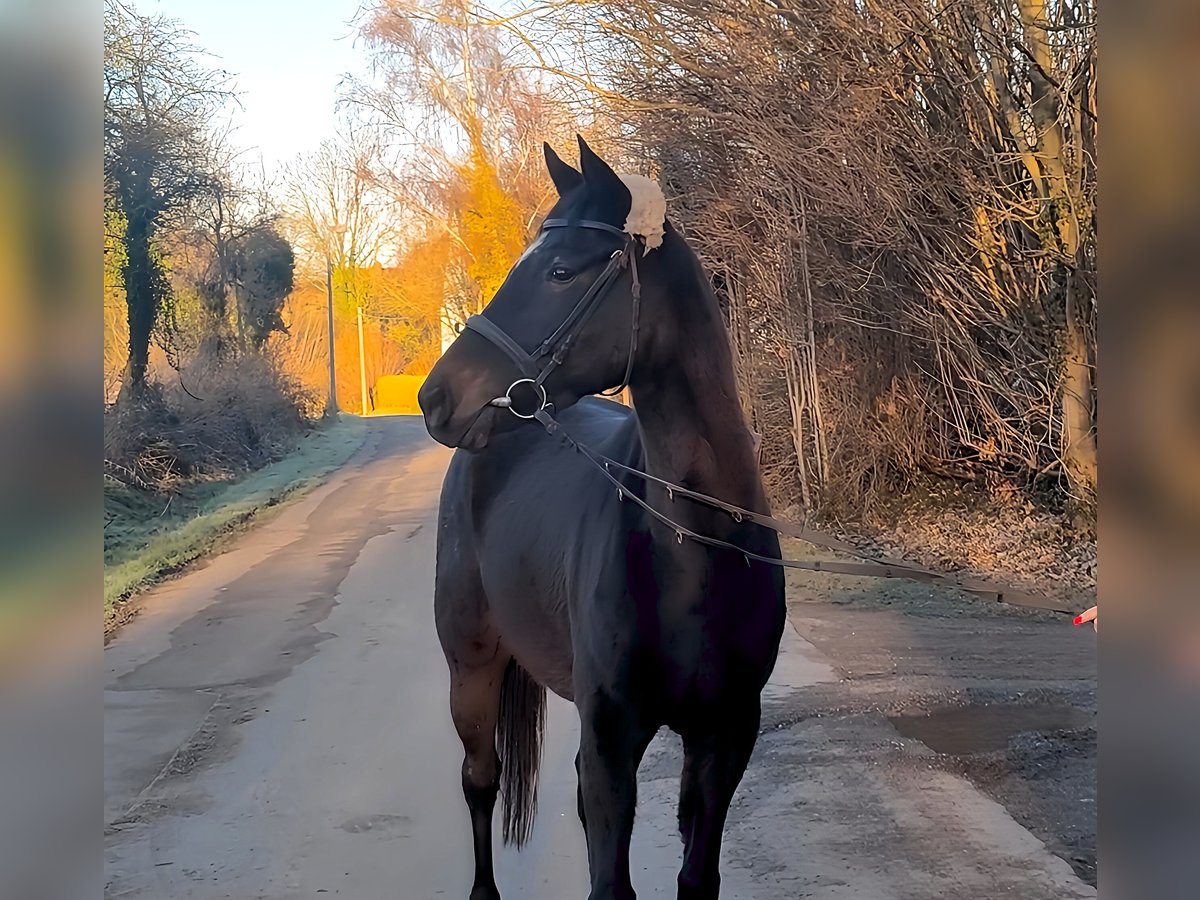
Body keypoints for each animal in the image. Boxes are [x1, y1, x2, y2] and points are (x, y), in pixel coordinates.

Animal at [417, 135, 782, 900]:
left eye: (560, 270)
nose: (435, 397)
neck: (694, 547)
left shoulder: (726, 735)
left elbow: (695, 876)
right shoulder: (613, 735)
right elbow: (610, 881)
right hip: (471, 671)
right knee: (480, 783)